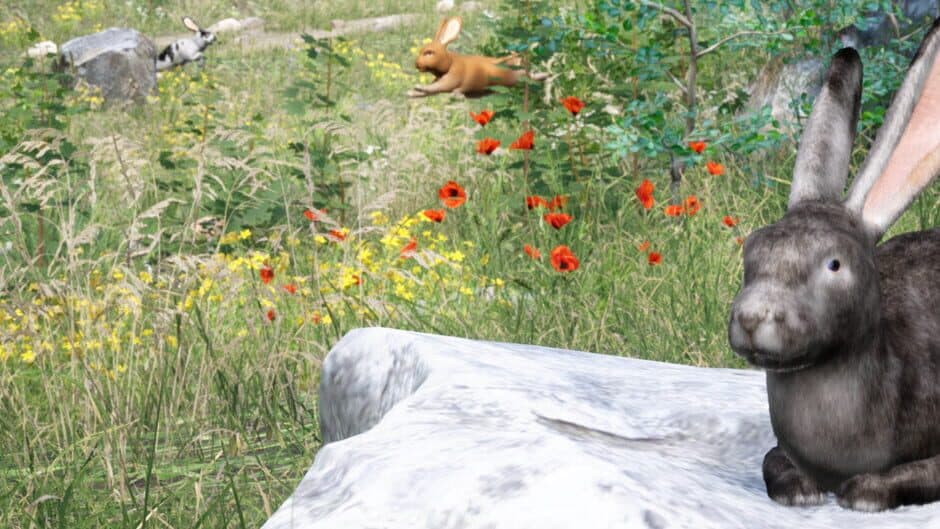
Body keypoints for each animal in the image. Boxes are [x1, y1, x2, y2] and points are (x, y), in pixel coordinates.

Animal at [407, 17, 548, 98]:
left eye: (429, 52)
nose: (416, 64)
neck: (451, 62)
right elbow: (432, 87)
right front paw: (413, 92)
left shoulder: (452, 78)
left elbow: (436, 87)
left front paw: (417, 87)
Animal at [728, 18, 940, 512]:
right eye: (752, 250)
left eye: (835, 265)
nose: (753, 318)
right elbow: (772, 461)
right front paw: (800, 491)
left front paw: (864, 493)